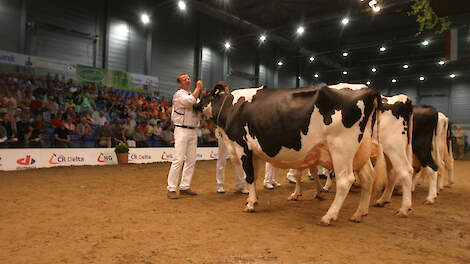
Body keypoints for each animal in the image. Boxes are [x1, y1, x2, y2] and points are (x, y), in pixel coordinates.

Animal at [195, 83, 386, 225]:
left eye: (204, 95)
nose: (195, 104)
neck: (231, 106)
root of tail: (369, 90)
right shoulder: (254, 151)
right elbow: (254, 176)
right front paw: (253, 199)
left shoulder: (242, 146)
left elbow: (249, 176)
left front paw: (250, 204)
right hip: (361, 150)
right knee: (368, 177)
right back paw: (359, 213)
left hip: (341, 148)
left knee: (345, 180)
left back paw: (329, 216)